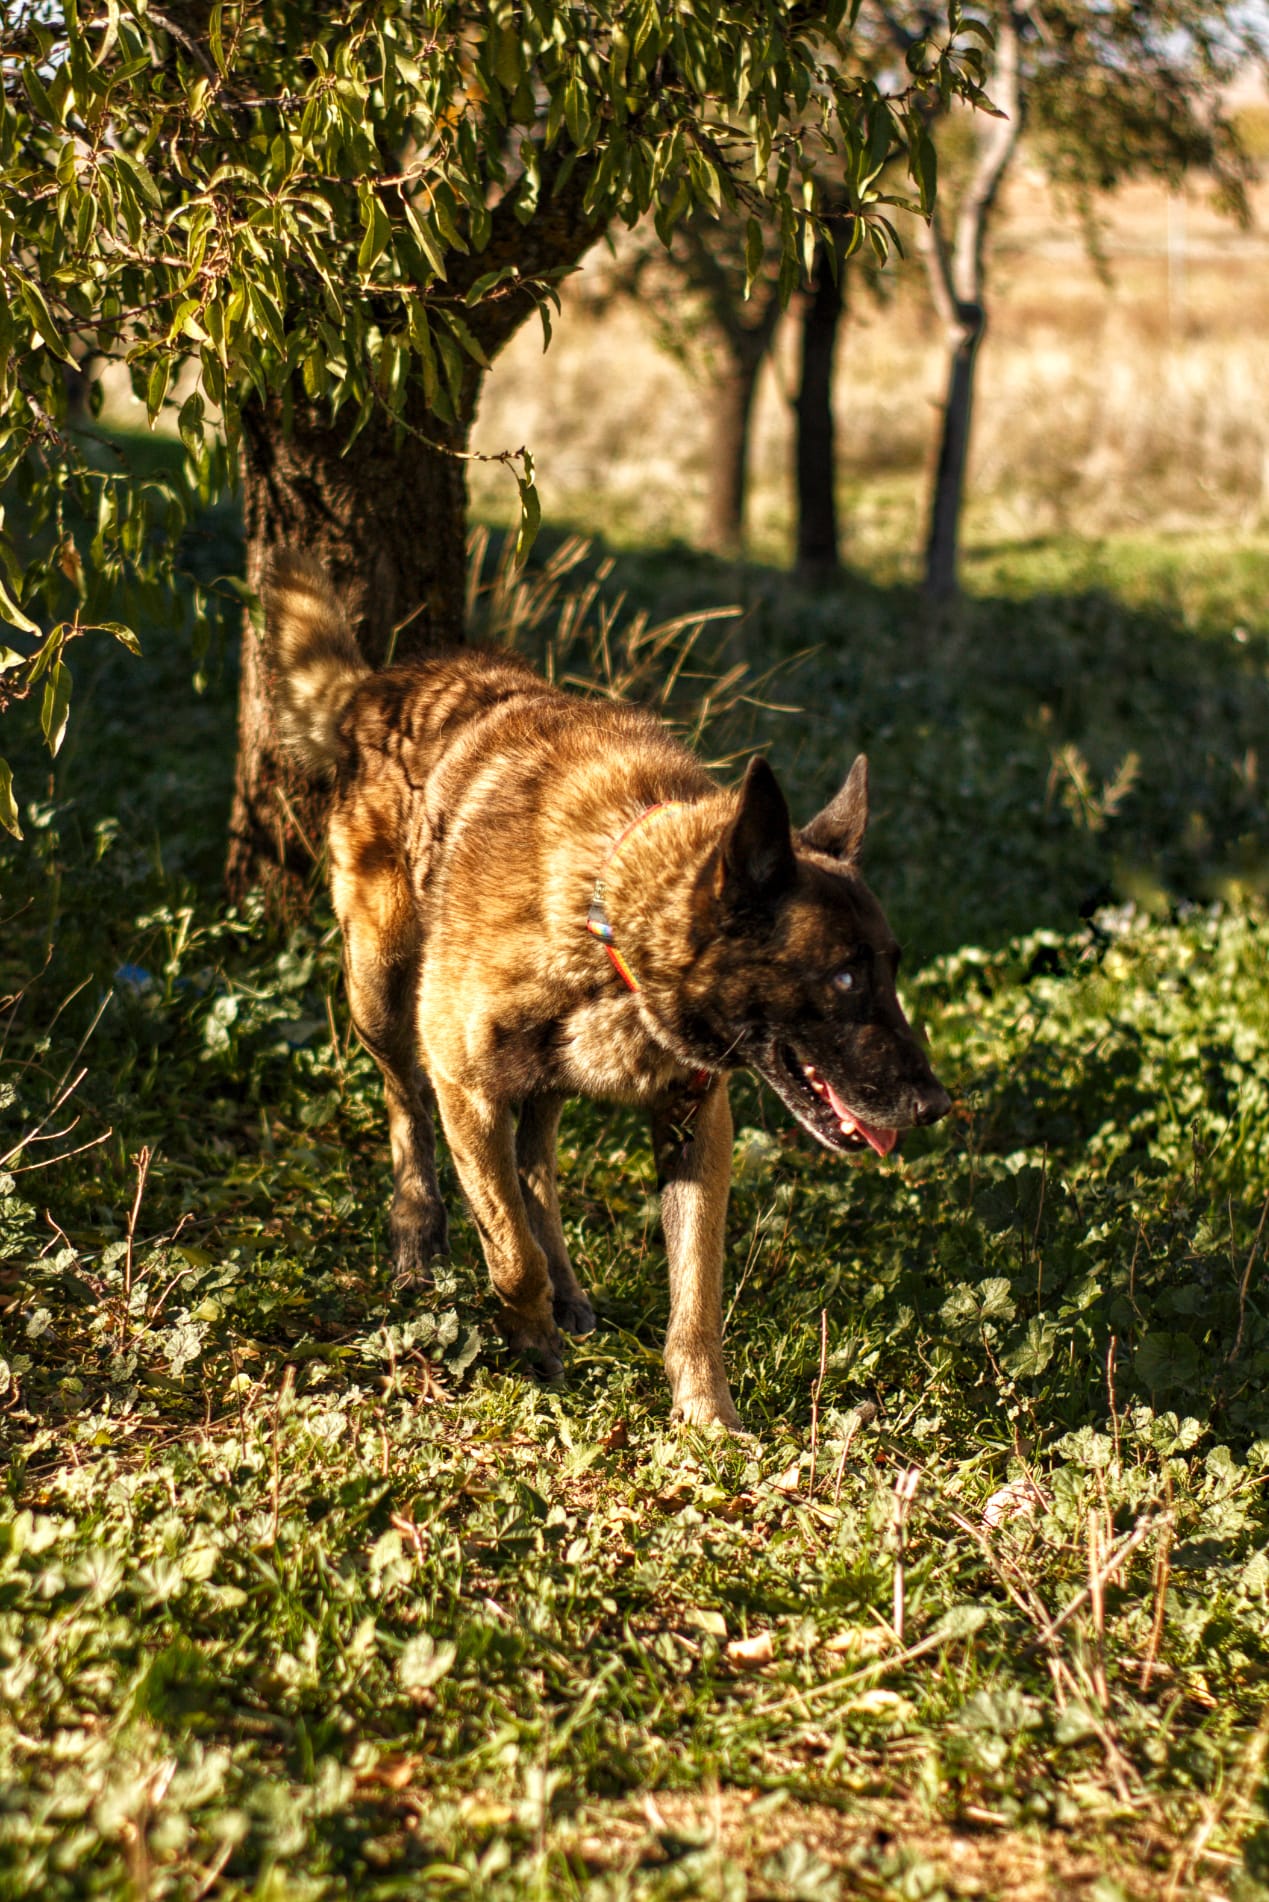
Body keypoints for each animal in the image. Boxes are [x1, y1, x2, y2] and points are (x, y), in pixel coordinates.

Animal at [266, 551, 950, 1429]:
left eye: (891, 969)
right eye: (841, 976)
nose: (933, 1106)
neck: (610, 909)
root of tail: (378, 684)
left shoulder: (697, 1123)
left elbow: (693, 1295)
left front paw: (707, 1419)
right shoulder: (465, 1085)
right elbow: (507, 1249)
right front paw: (530, 1350)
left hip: (531, 1074)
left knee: (534, 1169)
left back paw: (567, 1288)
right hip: (379, 987)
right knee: (406, 1108)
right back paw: (418, 1237)